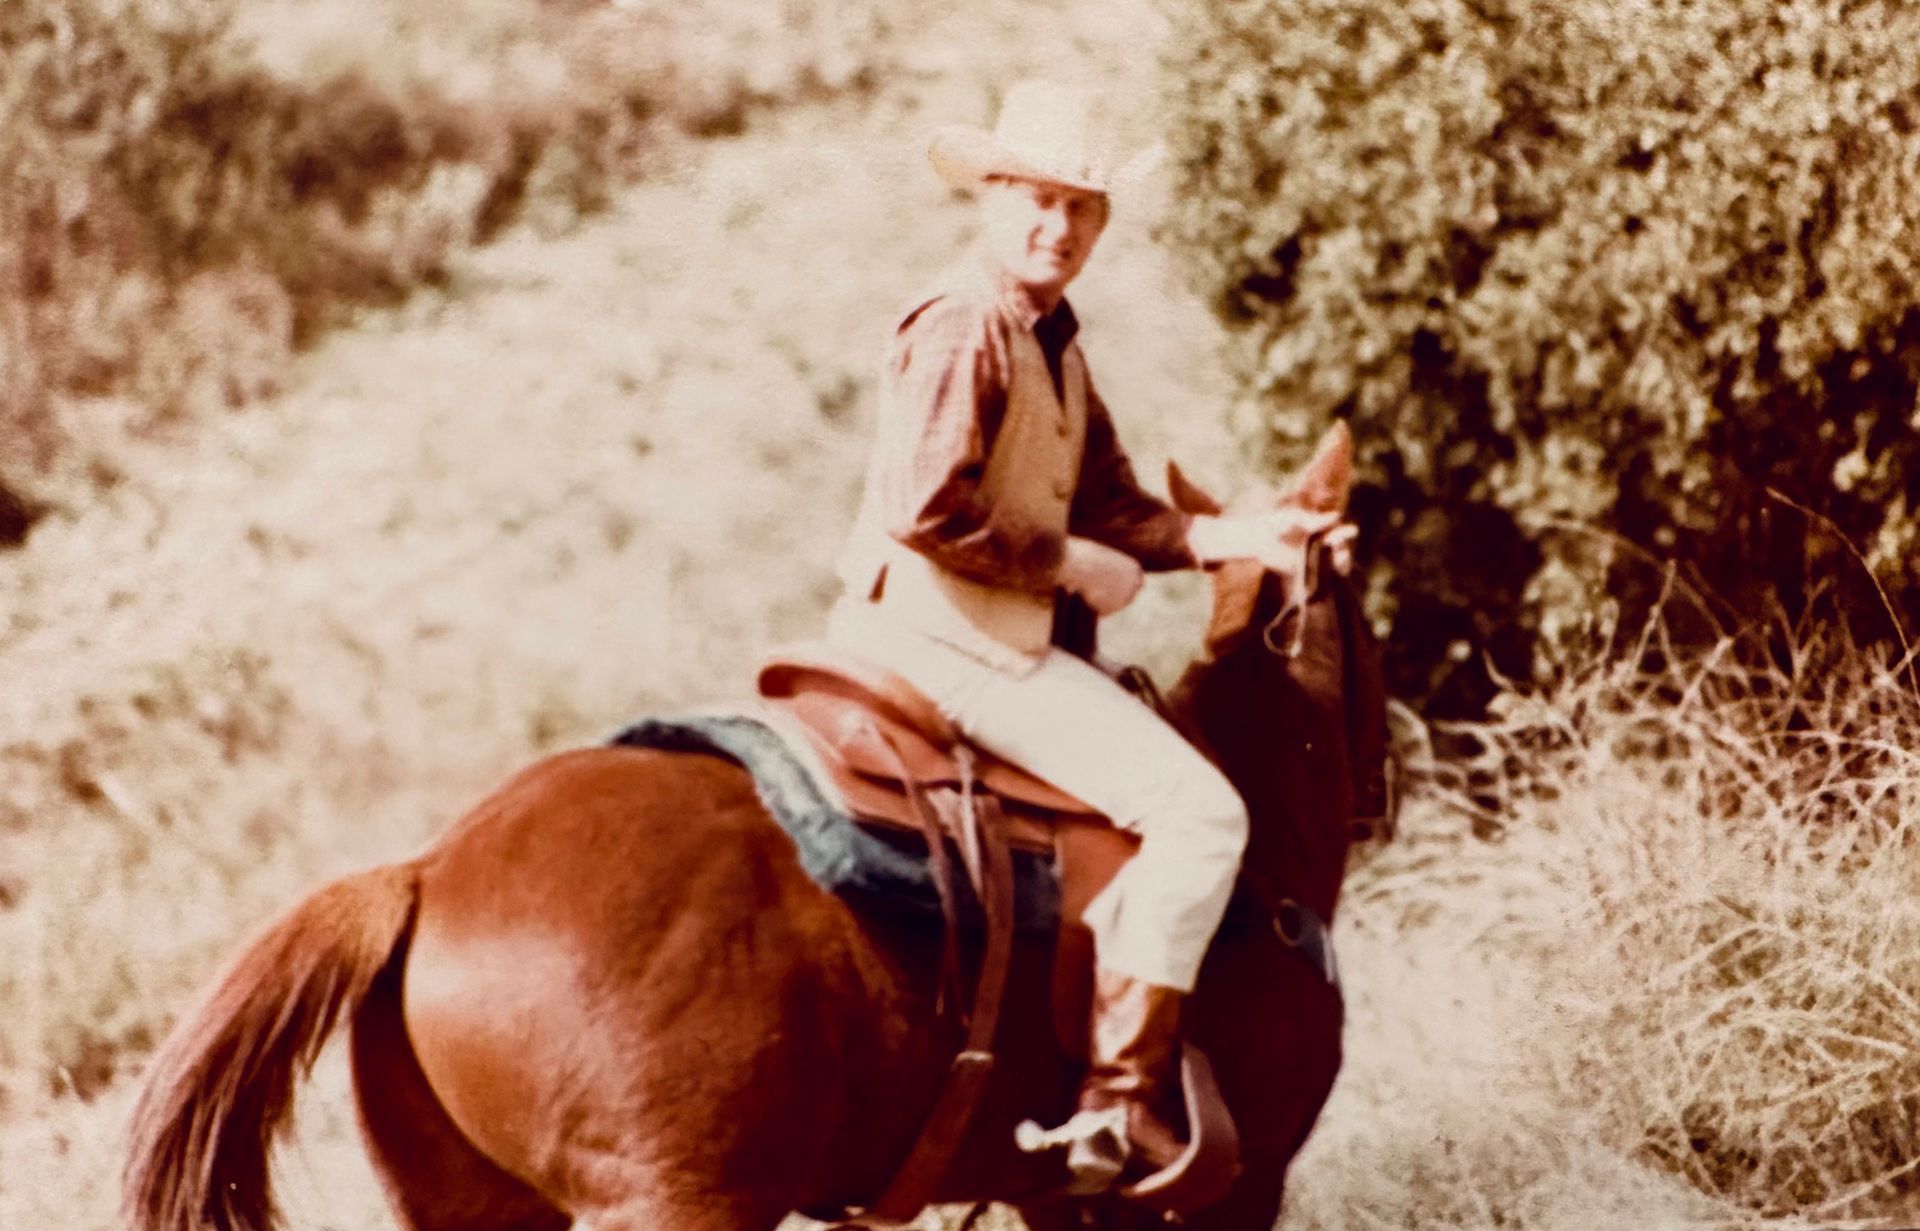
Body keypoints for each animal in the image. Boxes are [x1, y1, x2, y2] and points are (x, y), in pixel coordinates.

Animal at [124, 423, 1390, 1231]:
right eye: (1364, 594)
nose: (1383, 782)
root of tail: (425, 876)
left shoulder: (1066, 1210)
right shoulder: (1237, 1186)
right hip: (677, 1210)